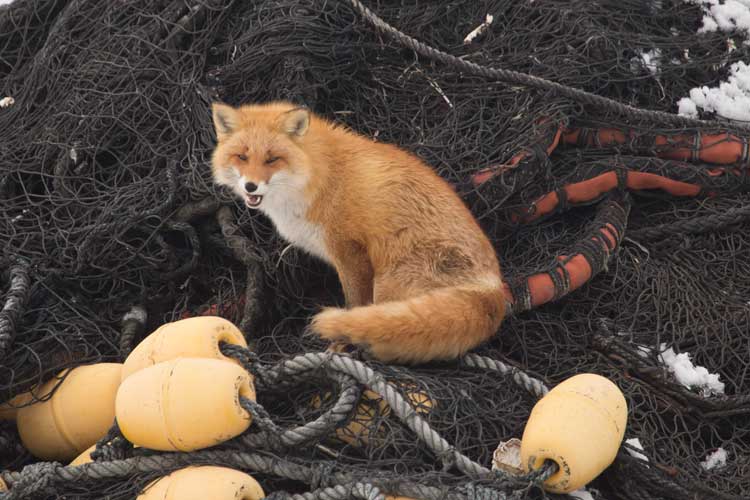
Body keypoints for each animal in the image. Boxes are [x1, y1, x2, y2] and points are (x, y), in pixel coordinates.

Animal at [209, 100, 506, 364]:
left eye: (272, 159)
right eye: (242, 157)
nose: (250, 186)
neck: (318, 177)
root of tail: (494, 292)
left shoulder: (350, 252)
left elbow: (355, 305)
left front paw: (342, 343)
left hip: (388, 282)